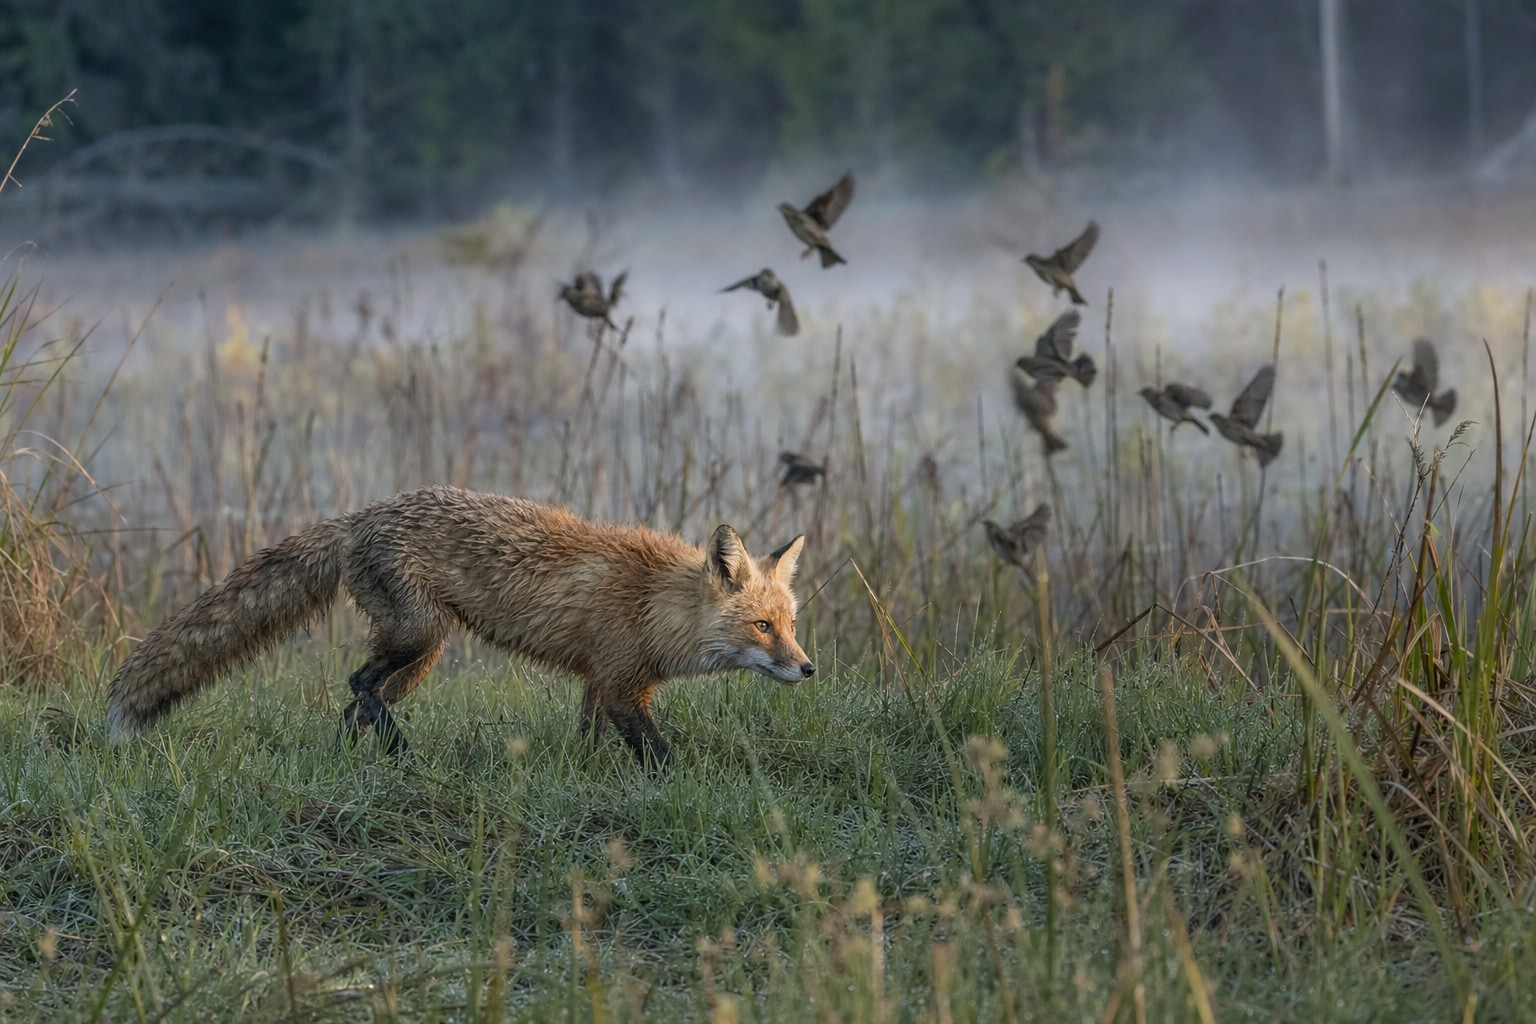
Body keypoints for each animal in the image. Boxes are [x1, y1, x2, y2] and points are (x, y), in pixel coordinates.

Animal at [106, 486, 814, 767]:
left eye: (789, 624)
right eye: (761, 627)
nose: (809, 669)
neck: (652, 603)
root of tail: (359, 516)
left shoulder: (599, 682)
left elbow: (588, 741)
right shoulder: (620, 686)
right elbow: (662, 756)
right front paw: (685, 782)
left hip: (419, 654)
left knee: (352, 703)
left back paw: (354, 760)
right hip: (421, 636)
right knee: (358, 685)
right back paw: (398, 750)